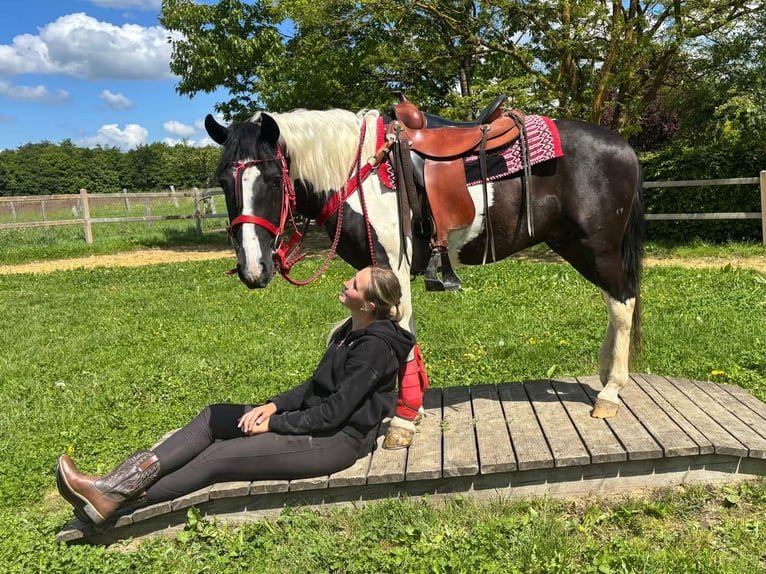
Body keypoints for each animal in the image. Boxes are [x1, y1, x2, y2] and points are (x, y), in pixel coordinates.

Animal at [204, 102, 644, 449]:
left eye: (272, 180)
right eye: (223, 182)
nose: (253, 270)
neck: (356, 172)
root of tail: (624, 147)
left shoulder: (391, 265)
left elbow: (400, 328)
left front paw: (402, 419)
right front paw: (410, 410)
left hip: (598, 247)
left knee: (622, 304)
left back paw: (611, 392)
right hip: (575, 246)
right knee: (615, 303)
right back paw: (605, 373)